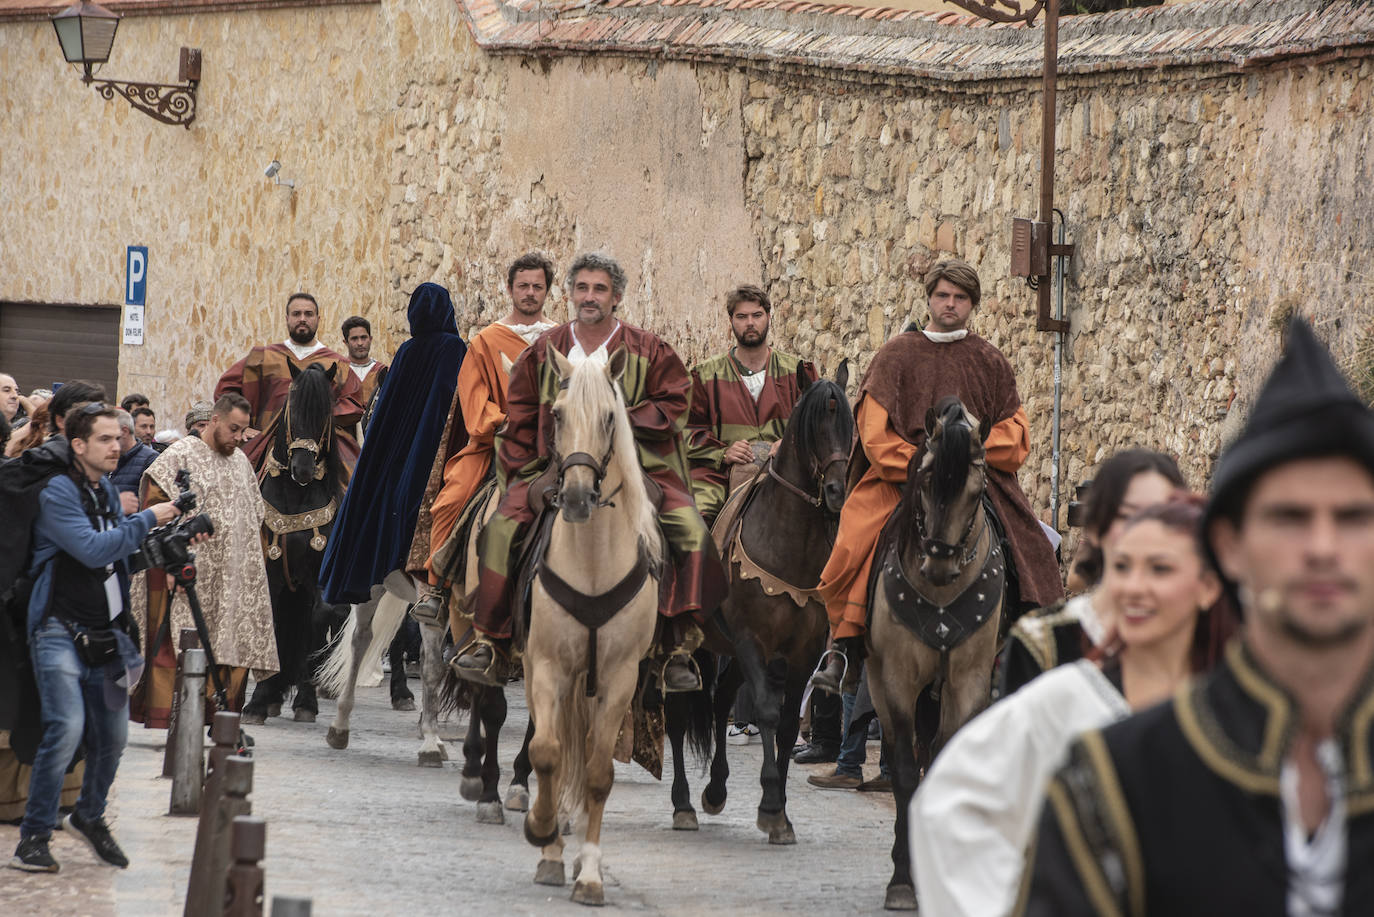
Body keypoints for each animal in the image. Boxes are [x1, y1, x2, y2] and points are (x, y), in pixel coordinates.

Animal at [243, 362, 346, 725]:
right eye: (292, 409)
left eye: (325, 413)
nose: (302, 468)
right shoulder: (271, 572)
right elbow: (272, 623)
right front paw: (258, 701)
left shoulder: (317, 576)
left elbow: (318, 620)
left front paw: (306, 699)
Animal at [516, 342, 662, 901]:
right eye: (557, 415)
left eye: (608, 417)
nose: (577, 499)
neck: (595, 562)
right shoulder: (548, 667)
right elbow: (547, 752)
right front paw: (543, 832)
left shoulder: (621, 678)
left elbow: (598, 774)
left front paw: (592, 872)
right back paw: (553, 844)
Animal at [662, 360, 851, 846]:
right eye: (813, 426)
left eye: (849, 424)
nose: (837, 493)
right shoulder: (752, 641)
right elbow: (765, 710)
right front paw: (769, 808)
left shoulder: (800, 653)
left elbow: (783, 724)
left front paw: (781, 811)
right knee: (678, 715)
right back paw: (684, 804)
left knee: (721, 701)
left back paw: (715, 790)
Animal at [868, 395, 1011, 912]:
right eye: (927, 480)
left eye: (977, 489)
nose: (939, 564)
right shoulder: (896, 682)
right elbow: (905, 774)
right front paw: (902, 880)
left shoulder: (969, 681)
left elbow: (946, 759)